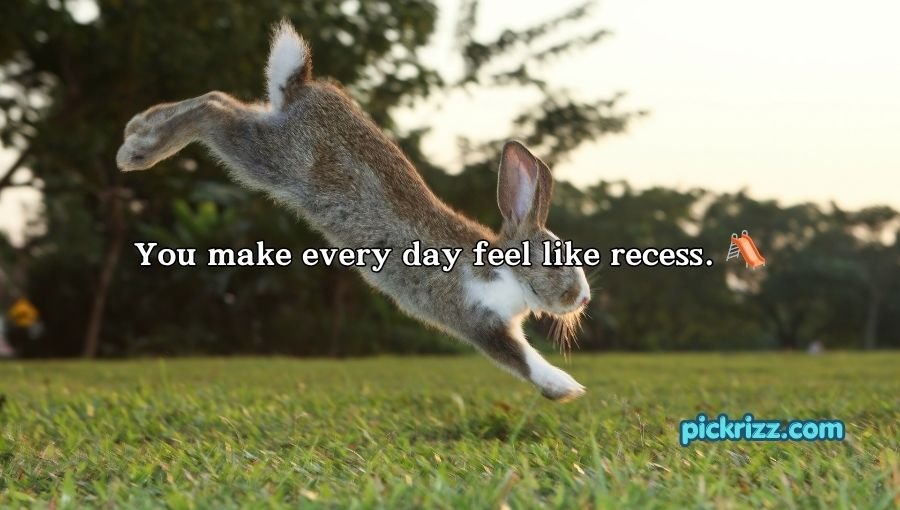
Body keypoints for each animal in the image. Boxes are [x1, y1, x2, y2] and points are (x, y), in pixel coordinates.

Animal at [116, 21, 591, 401]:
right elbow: (521, 359)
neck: (505, 267)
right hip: (270, 158)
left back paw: (138, 127)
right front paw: (567, 388)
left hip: (266, 133)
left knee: (221, 100)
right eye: (554, 262)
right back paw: (136, 151)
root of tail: (303, 88)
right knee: (212, 110)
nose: (583, 298)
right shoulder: (478, 320)